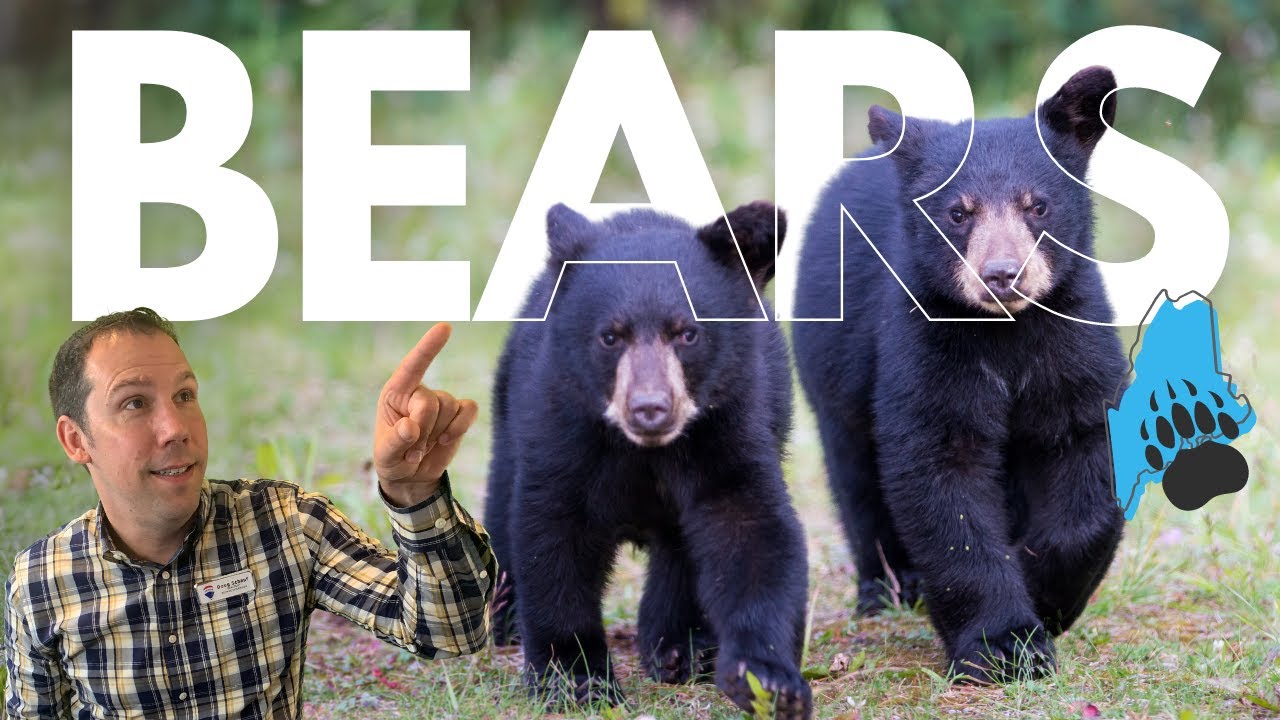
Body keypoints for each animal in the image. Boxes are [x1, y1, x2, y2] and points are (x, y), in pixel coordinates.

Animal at [484, 201, 812, 718]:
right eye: (610, 336)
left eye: (688, 333)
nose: (650, 407)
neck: (645, 451)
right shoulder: (560, 423)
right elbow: (553, 535)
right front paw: (574, 678)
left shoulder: (732, 425)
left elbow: (751, 531)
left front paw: (767, 679)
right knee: (502, 504)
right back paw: (506, 619)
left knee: (681, 552)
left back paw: (682, 648)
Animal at [791, 66, 1128, 683]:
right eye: (957, 212)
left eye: (1037, 206)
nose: (1002, 274)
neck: (1006, 331)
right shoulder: (926, 341)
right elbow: (942, 471)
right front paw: (1003, 644)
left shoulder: (1073, 336)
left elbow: (1086, 448)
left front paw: (1045, 591)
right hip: (833, 367)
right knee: (856, 477)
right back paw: (887, 588)